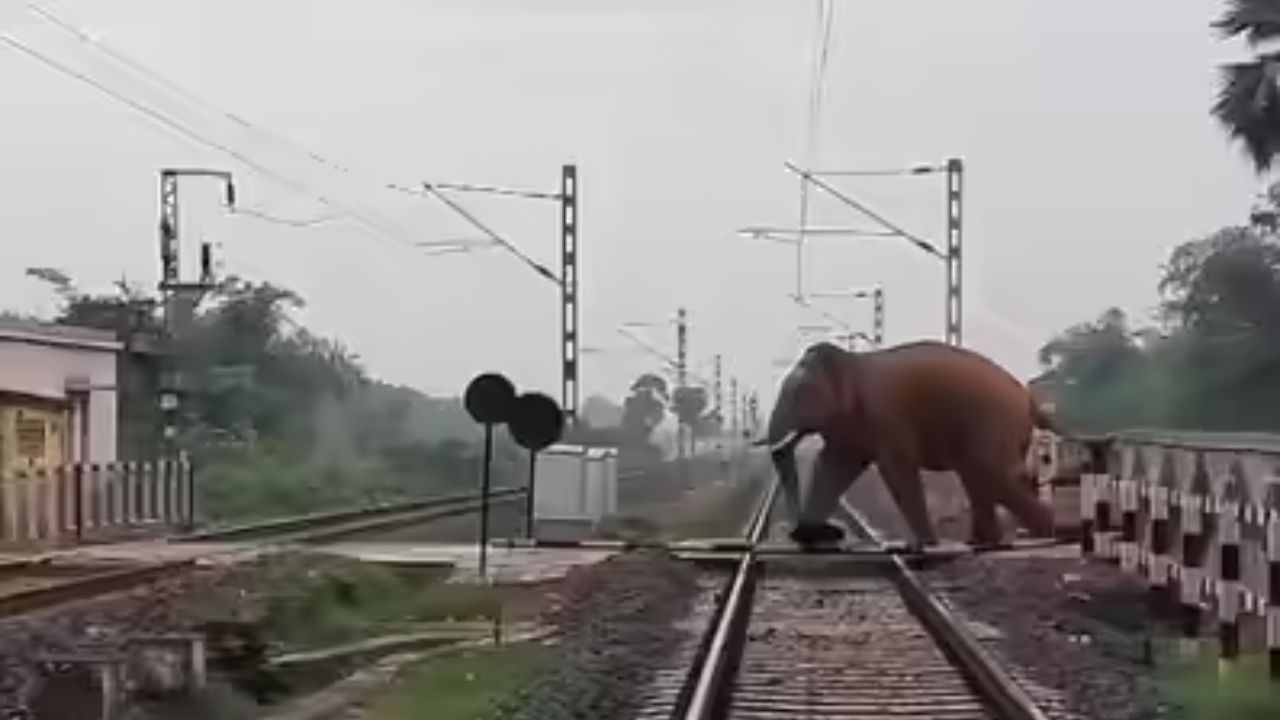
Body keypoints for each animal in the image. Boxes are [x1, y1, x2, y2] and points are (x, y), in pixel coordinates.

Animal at [757, 340, 1058, 548]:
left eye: (799, 393)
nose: (798, 531)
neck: (851, 362)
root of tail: (1029, 399)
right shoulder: (850, 426)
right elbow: (831, 466)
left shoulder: (885, 415)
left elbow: (895, 468)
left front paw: (924, 544)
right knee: (976, 476)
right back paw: (983, 544)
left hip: (994, 423)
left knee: (987, 472)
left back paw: (1050, 534)